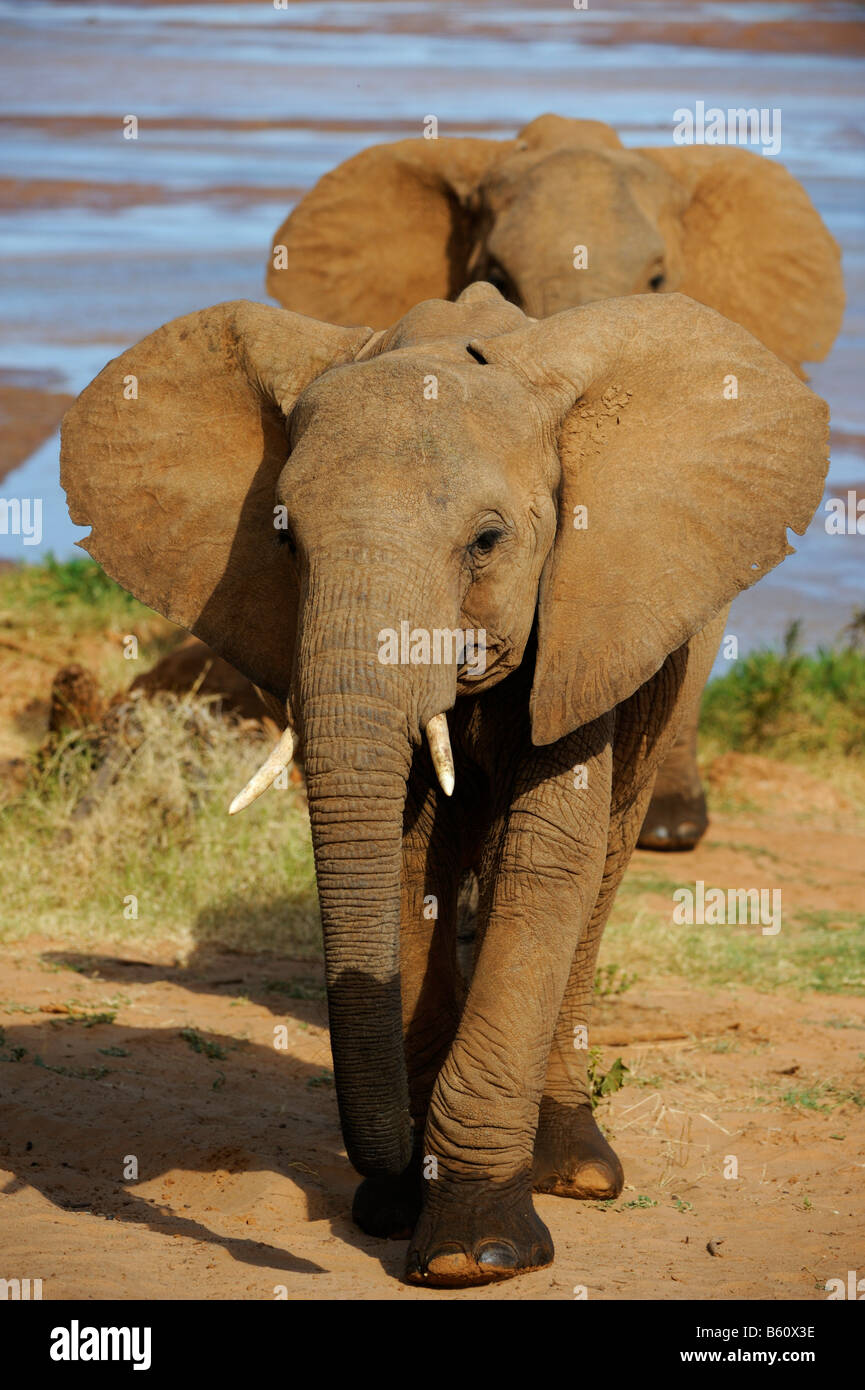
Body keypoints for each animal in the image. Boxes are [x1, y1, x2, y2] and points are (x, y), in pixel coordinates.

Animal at [59, 284, 828, 1289]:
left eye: (488, 542)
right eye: (282, 540)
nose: (381, 1191)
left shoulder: (582, 612)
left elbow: (546, 864)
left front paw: (474, 1253)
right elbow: (404, 858)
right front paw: (404, 1206)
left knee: (595, 877)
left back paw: (576, 1170)